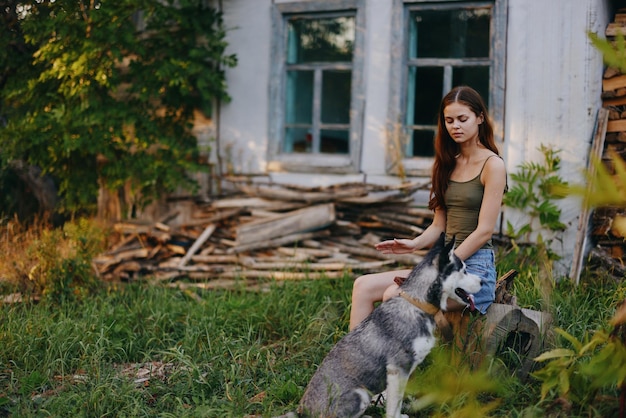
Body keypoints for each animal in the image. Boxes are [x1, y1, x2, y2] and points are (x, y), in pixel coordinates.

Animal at [294, 233, 480, 416]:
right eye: (464, 270)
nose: (482, 282)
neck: (417, 305)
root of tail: (302, 410)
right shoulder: (398, 370)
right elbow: (394, 407)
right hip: (360, 394)